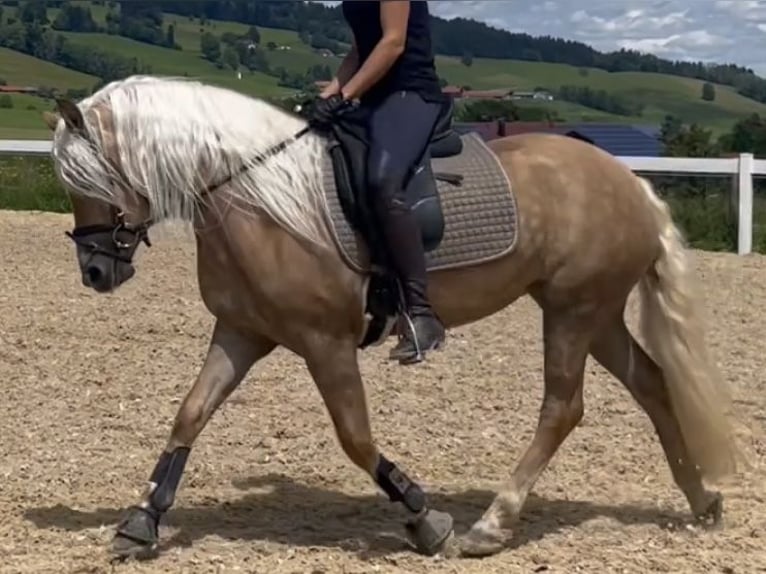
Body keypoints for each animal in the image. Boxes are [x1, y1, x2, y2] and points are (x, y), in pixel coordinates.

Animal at [40, 75, 744, 564]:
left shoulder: (324, 342)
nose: (96, 272)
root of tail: (631, 183)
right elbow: (189, 414)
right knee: (652, 384)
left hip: (573, 310)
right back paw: (702, 500)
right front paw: (141, 522)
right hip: (592, 312)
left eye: (88, 178)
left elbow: (355, 437)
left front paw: (425, 518)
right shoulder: (242, 333)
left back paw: (491, 525)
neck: (255, 201)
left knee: (562, 408)